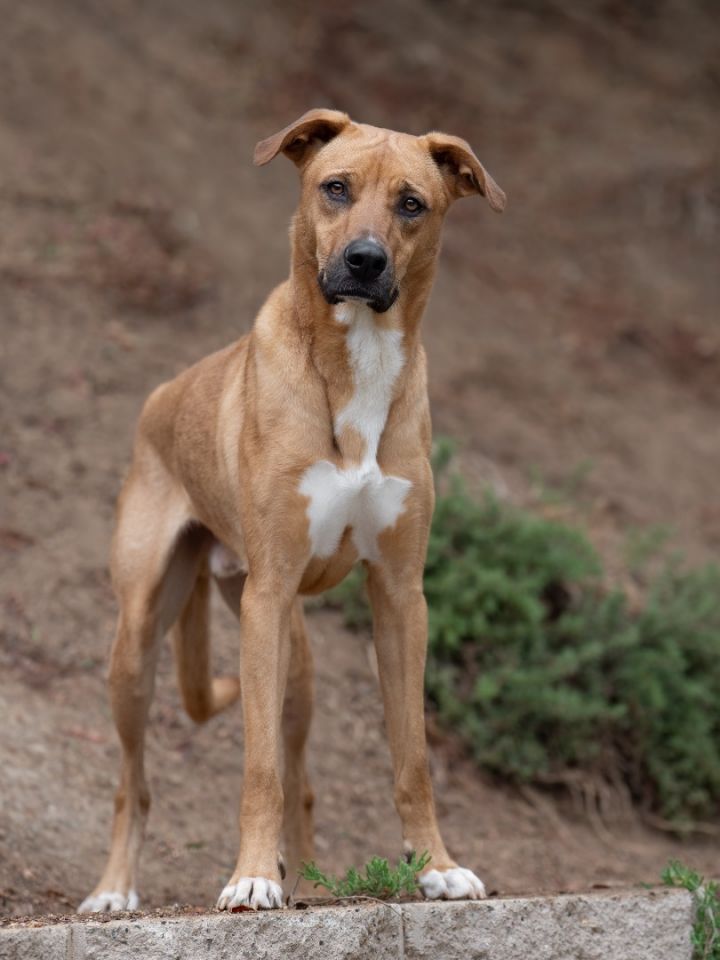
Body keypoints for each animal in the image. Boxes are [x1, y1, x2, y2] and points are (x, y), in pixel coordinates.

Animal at [77, 109, 506, 912]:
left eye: (412, 204)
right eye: (335, 188)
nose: (365, 261)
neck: (357, 364)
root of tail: (161, 396)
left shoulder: (401, 598)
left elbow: (411, 757)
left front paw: (435, 865)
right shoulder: (268, 594)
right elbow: (259, 769)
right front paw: (249, 877)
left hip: (296, 667)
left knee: (302, 782)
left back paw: (305, 880)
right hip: (140, 642)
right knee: (134, 785)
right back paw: (118, 889)